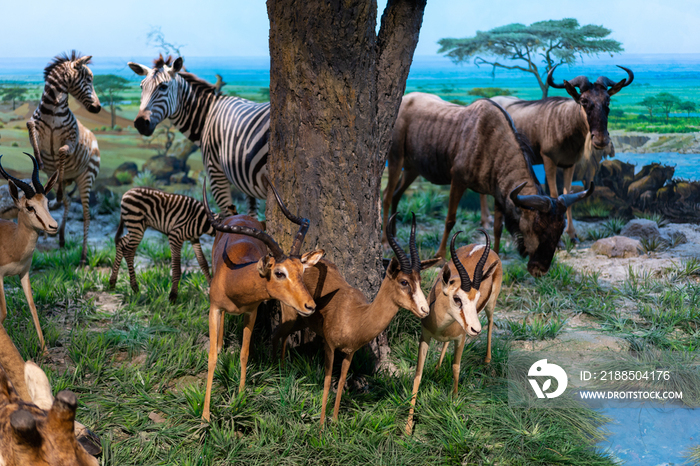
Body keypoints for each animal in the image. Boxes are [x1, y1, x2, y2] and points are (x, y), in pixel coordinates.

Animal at [0, 154, 58, 354]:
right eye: (29, 207)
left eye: (46, 203)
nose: (53, 226)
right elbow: (4, 311)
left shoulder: (24, 273)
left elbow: (32, 306)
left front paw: (45, 351)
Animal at [127, 55, 270, 216]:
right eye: (142, 87)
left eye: (163, 87)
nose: (140, 123)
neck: (207, 114)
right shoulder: (247, 184)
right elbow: (251, 217)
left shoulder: (216, 175)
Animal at [201, 178, 324, 422]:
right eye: (279, 273)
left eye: (301, 271)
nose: (310, 306)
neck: (235, 280)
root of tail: (242, 215)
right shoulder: (214, 308)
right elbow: (211, 357)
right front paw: (205, 416)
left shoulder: (252, 312)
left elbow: (244, 353)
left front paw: (239, 399)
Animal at [274, 213, 438, 428]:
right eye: (404, 282)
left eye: (419, 280)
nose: (425, 310)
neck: (355, 316)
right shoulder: (330, 347)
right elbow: (327, 381)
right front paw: (321, 427)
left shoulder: (349, 352)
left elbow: (343, 380)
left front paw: (335, 421)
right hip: (290, 317)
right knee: (278, 336)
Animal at [408, 229, 500, 434]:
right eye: (457, 298)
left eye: (477, 297)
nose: (475, 329)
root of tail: (481, 245)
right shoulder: (425, 337)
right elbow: (418, 373)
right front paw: (407, 427)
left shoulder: (462, 338)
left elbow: (456, 368)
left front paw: (455, 401)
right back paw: (437, 367)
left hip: (491, 304)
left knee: (491, 322)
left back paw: (488, 360)